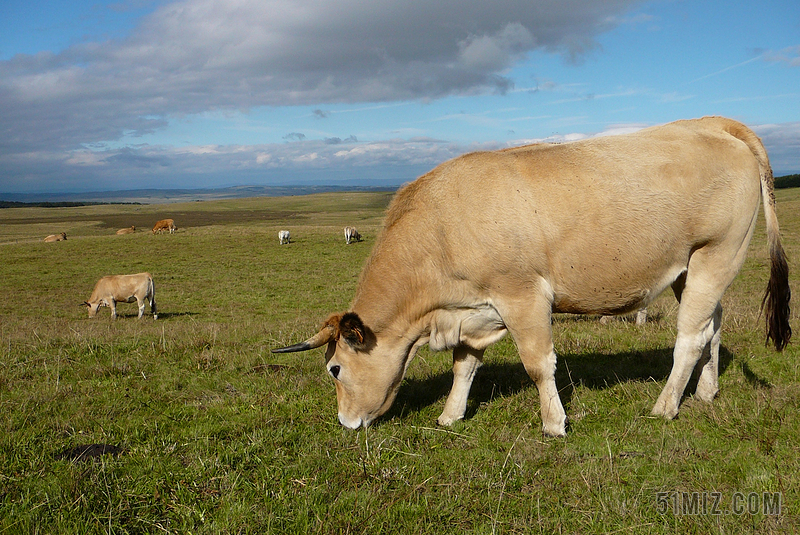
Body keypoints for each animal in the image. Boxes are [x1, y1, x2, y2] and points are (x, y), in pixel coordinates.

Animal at [272, 116, 792, 436]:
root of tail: (711, 123)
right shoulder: (473, 310)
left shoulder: (522, 295)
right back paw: (705, 392)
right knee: (713, 327)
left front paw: (553, 422)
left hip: (715, 254)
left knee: (690, 336)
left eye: (335, 369)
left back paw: (665, 406)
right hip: (694, 269)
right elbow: (463, 366)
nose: (345, 423)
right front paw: (450, 415)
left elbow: (539, 363)